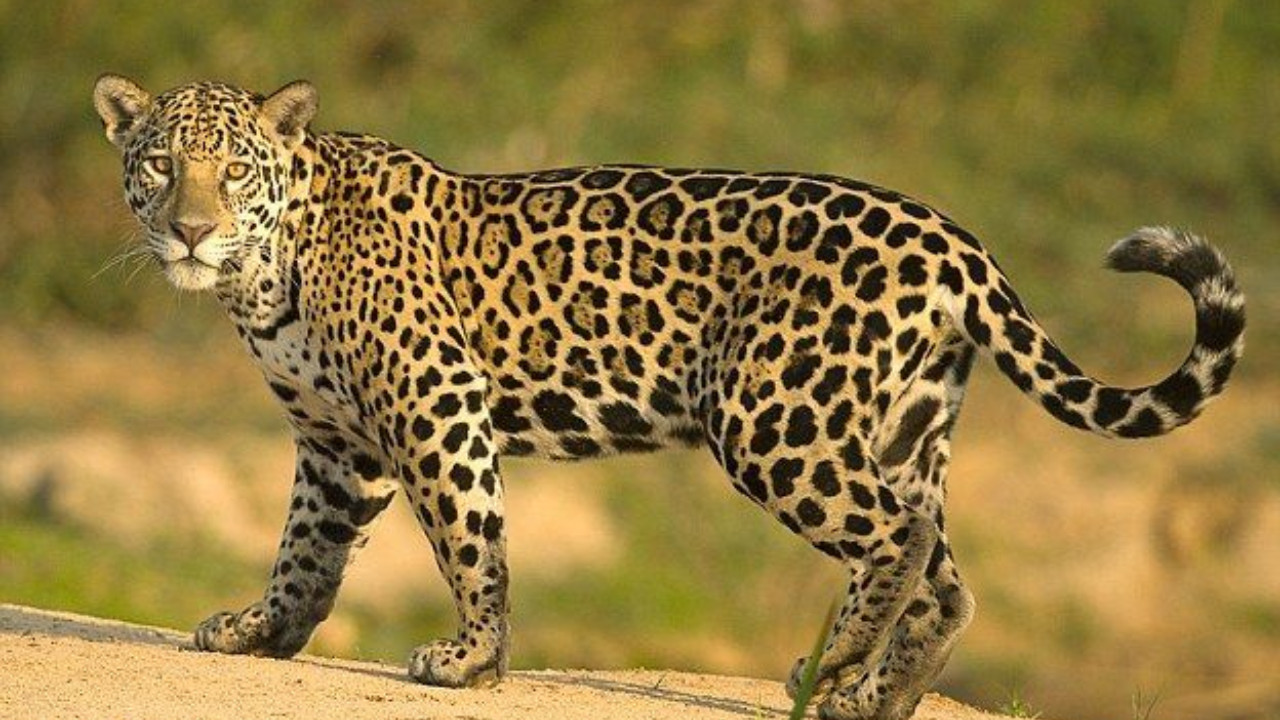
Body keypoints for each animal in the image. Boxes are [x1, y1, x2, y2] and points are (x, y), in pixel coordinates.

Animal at [92, 75, 1245, 720]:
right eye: (159, 166)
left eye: (231, 171)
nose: (191, 230)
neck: (265, 269)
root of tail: (953, 238)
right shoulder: (336, 443)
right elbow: (305, 551)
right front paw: (259, 634)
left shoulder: (434, 400)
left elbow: (469, 535)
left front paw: (471, 661)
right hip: (902, 426)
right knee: (945, 575)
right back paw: (871, 696)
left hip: (776, 419)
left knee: (900, 537)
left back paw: (830, 670)